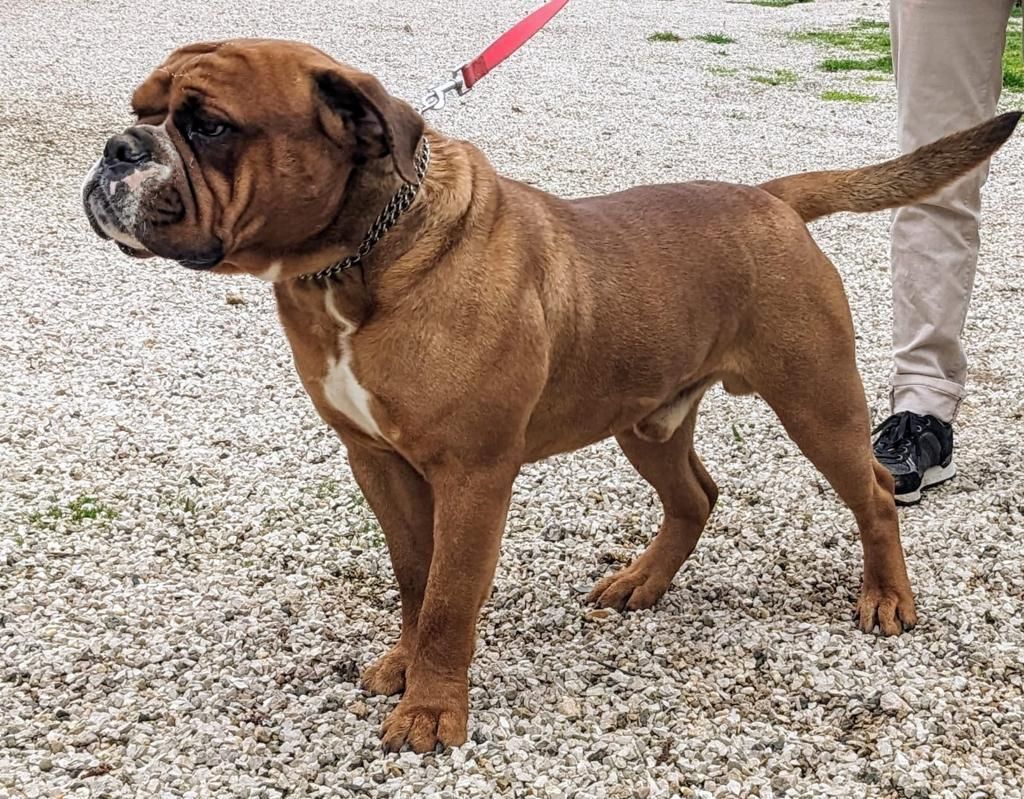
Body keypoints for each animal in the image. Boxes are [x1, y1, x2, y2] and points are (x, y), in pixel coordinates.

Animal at [83, 38, 1019, 749]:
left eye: (208, 125)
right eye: (141, 107)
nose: (119, 147)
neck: (353, 263)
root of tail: (768, 197)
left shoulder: (472, 477)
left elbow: (449, 597)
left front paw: (432, 708)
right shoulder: (378, 461)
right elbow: (415, 577)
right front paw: (406, 665)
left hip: (816, 401)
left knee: (873, 494)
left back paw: (886, 595)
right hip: (647, 421)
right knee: (695, 495)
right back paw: (642, 581)